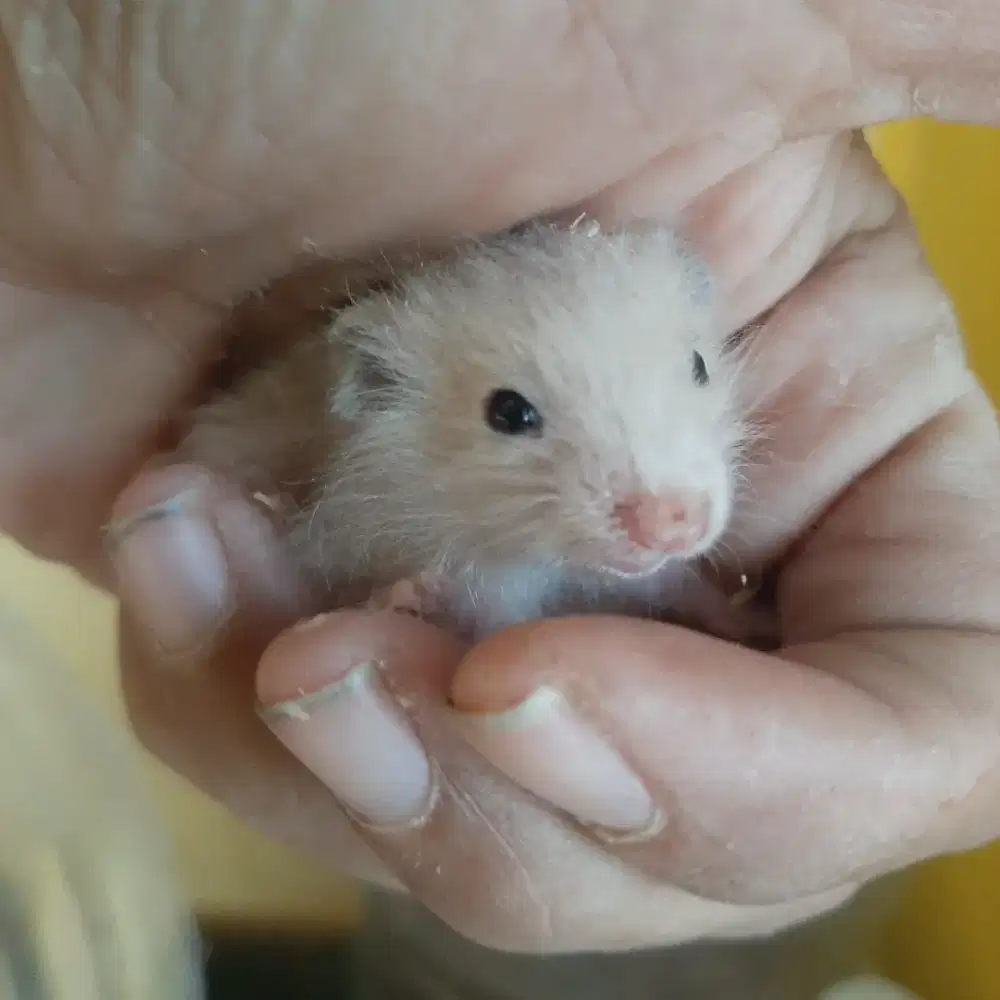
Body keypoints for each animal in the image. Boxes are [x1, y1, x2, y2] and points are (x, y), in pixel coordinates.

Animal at [179, 220, 775, 646]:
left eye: (699, 365)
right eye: (507, 413)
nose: (675, 523)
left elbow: (686, 585)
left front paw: (748, 620)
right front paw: (409, 595)